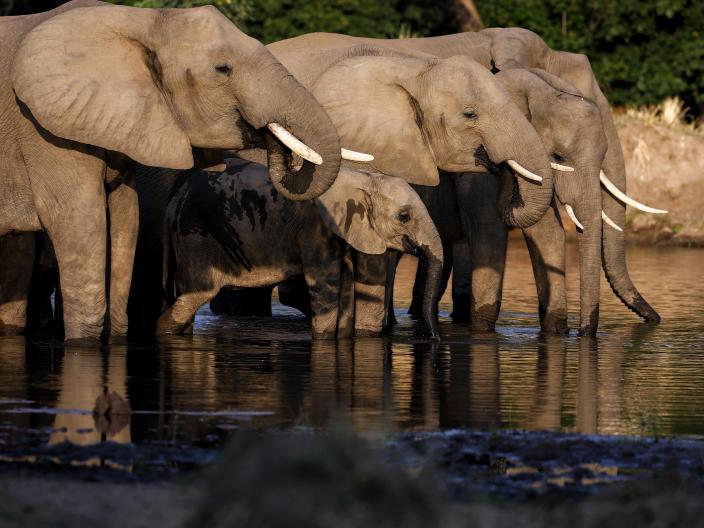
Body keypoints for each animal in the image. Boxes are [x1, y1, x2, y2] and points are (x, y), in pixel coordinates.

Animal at [0, 1, 344, 342]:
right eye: (223, 69)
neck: (142, 20)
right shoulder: (45, 132)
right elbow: (80, 222)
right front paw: (83, 343)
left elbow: (126, 220)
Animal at [157, 158, 443, 339]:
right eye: (404, 216)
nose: (434, 339)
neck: (365, 178)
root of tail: (172, 202)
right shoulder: (314, 229)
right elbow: (327, 287)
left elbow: (368, 290)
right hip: (194, 236)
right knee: (197, 295)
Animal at [269, 28, 665, 334]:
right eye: (559, 157)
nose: (654, 320)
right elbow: (491, 229)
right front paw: (483, 330)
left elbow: (546, 231)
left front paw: (556, 331)